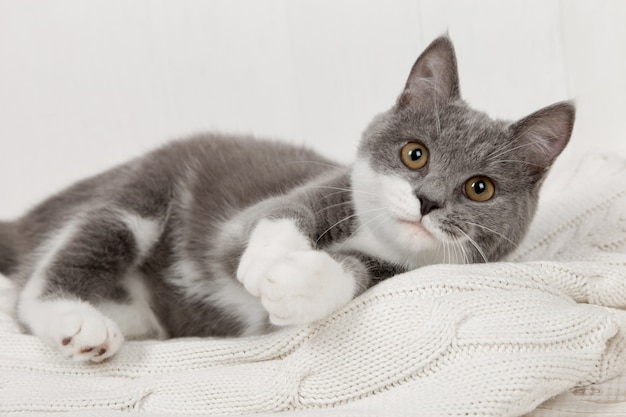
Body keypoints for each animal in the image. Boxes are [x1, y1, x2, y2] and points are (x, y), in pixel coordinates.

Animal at [0, 36, 572, 360]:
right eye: (415, 154)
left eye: (480, 188)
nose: (427, 201)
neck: (376, 238)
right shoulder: (289, 202)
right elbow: (277, 215)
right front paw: (268, 259)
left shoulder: (395, 272)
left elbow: (351, 275)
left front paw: (300, 281)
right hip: (140, 193)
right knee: (42, 282)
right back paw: (78, 323)